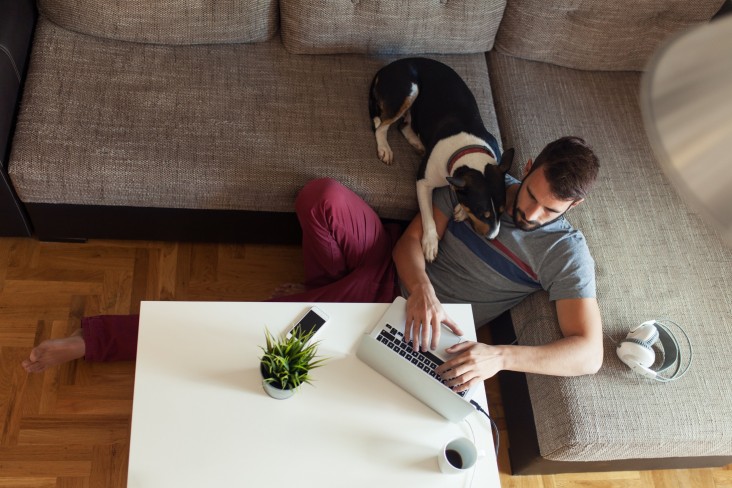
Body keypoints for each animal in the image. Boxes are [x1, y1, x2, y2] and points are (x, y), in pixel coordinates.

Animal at [368, 56, 512, 262]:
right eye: (481, 213)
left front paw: (461, 209)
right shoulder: (423, 182)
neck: (468, 151)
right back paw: (385, 148)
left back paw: (417, 143)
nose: (492, 237)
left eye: (501, 211)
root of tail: (390, 66)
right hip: (409, 90)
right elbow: (428, 216)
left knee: (403, 126)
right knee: (381, 127)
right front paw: (430, 243)